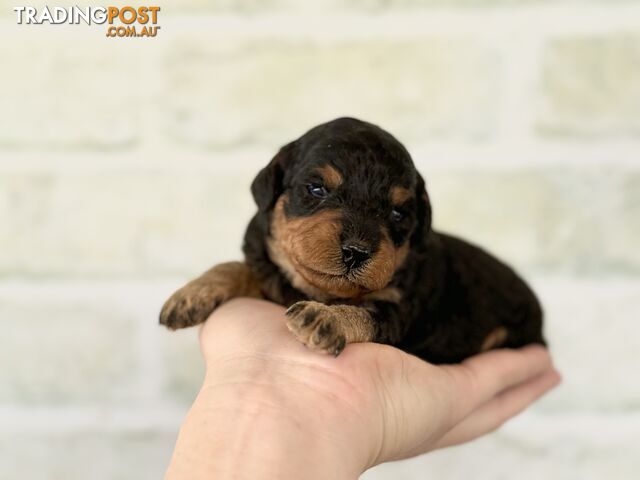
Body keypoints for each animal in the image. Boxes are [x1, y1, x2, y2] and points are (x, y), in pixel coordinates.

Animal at [160, 117, 544, 364]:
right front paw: (190, 294)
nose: (356, 252)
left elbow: (364, 313)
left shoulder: (398, 310)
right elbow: (238, 266)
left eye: (398, 213)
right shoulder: (269, 272)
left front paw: (323, 318)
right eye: (316, 189)